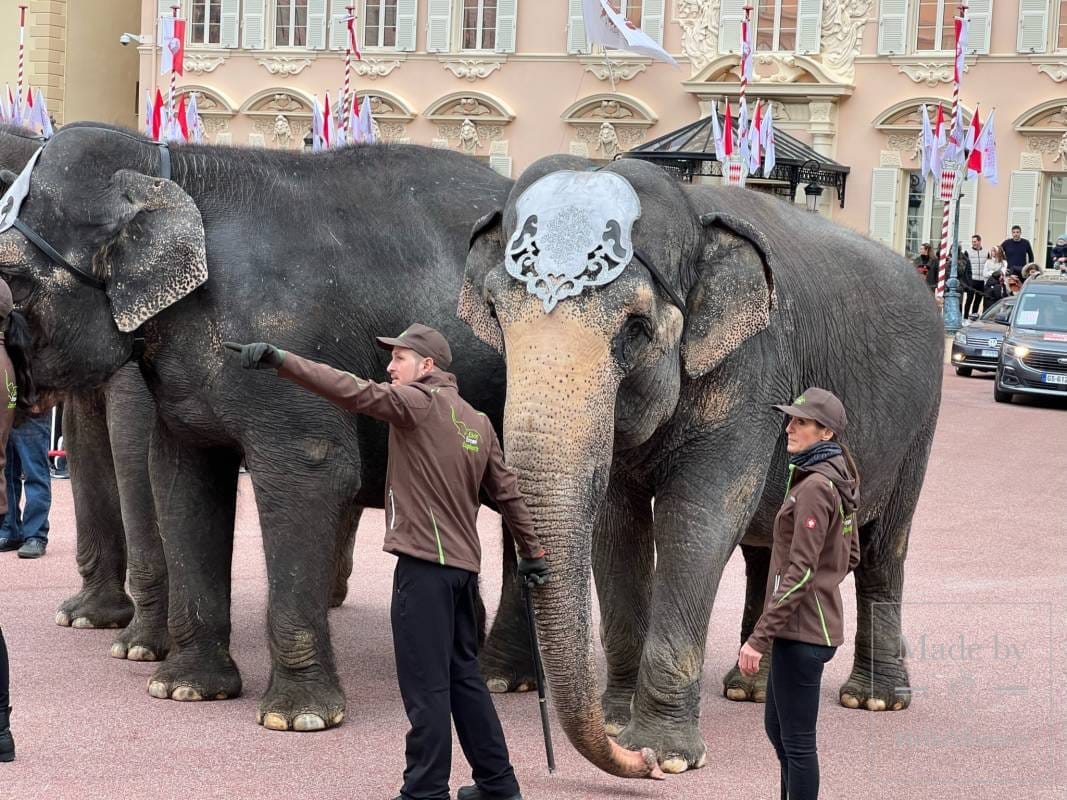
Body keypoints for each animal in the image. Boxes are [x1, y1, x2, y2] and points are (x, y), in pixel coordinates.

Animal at [458, 156, 943, 776]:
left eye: (635, 328)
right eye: (497, 315)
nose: (632, 760)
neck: (692, 209)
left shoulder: (753, 371)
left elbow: (697, 520)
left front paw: (665, 756)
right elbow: (617, 528)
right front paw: (618, 723)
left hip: (919, 423)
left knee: (885, 546)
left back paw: (873, 700)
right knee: (772, 543)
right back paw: (748, 689)